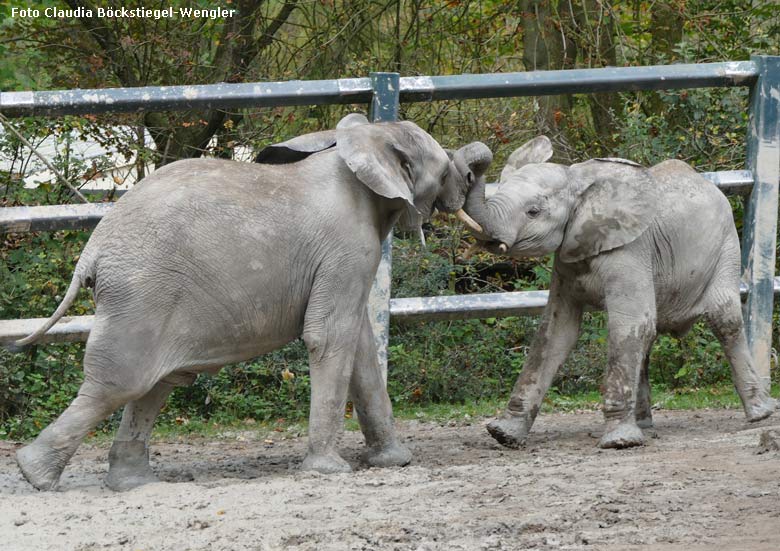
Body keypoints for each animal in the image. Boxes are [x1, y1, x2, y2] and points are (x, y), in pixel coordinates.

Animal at [10, 113, 494, 492]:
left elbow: (357, 346)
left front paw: (394, 463)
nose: (468, 175)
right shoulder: (347, 247)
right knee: (120, 382)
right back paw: (34, 474)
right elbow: (328, 337)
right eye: (443, 166)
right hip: (142, 291)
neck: (366, 137)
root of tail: (91, 250)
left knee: (159, 381)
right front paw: (329, 472)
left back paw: (134, 484)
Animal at [460, 136, 776, 450]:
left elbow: (629, 323)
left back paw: (760, 414)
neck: (579, 182)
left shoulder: (630, 249)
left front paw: (619, 442)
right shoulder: (567, 259)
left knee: (724, 320)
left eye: (533, 211)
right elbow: (557, 331)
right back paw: (645, 426)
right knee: (648, 339)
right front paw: (503, 435)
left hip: (726, 247)